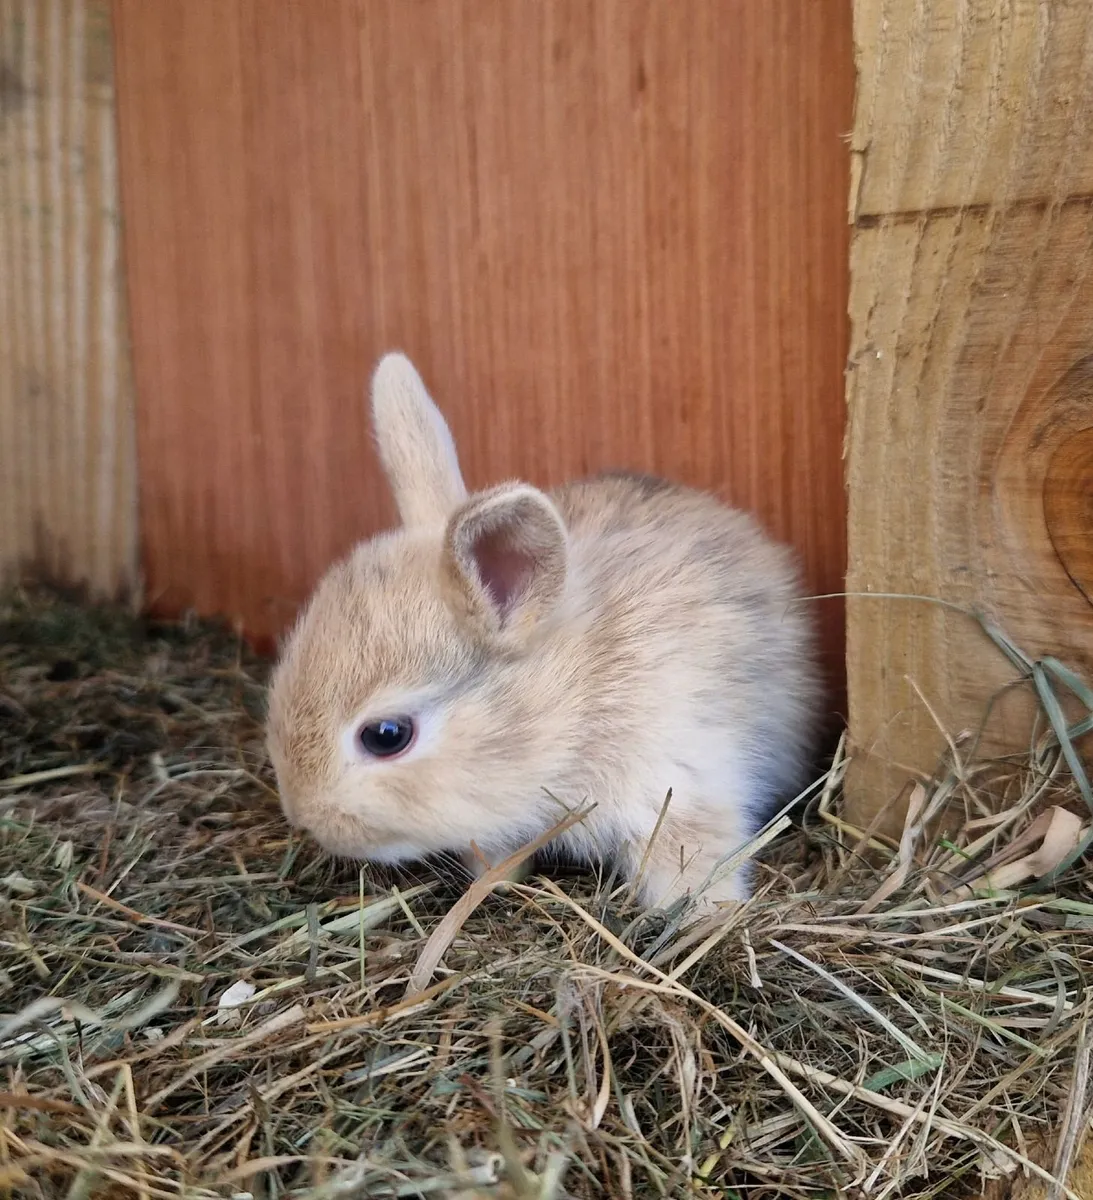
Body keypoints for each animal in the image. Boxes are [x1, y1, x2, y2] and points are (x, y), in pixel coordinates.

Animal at [265, 352, 822, 912]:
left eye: (386, 736)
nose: (306, 818)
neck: (567, 703)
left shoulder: (681, 788)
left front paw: (703, 914)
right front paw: (496, 882)